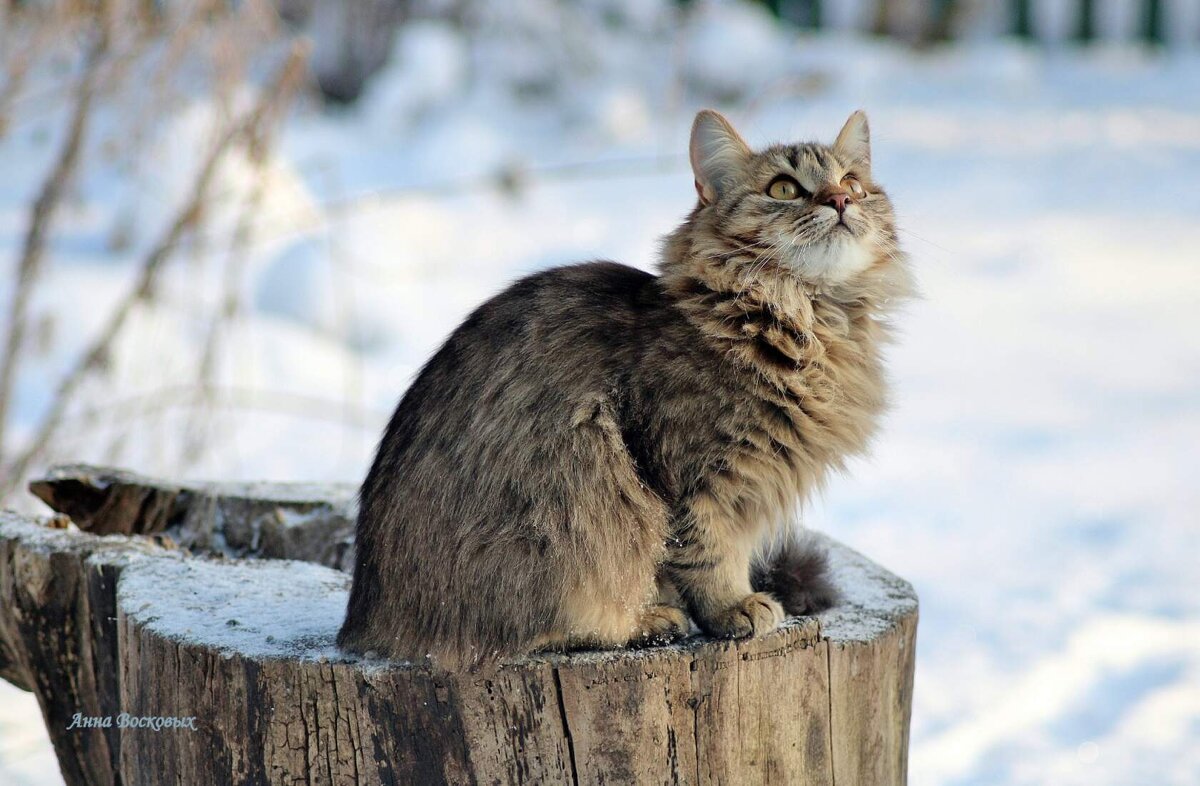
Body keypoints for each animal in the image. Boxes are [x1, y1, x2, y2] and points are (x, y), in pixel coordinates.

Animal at [338, 107, 907, 667]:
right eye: (785, 188)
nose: (838, 201)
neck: (807, 319)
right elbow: (707, 555)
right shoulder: (691, 475)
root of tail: (359, 620)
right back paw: (649, 621)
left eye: (853, 184)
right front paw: (732, 607)